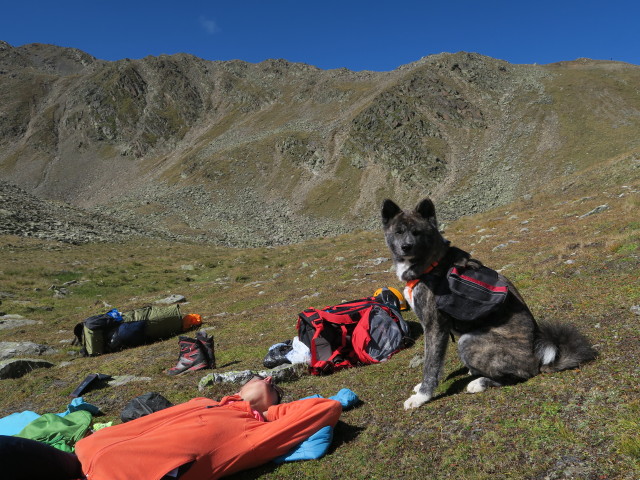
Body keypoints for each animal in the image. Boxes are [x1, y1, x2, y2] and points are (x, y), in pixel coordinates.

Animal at [380, 198, 596, 408]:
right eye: (399, 231)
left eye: (417, 232)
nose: (406, 247)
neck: (431, 263)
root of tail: (537, 359)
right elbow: (436, 363)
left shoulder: (434, 326)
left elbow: (431, 364)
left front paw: (422, 396)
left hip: (468, 341)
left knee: (521, 376)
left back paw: (480, 382)